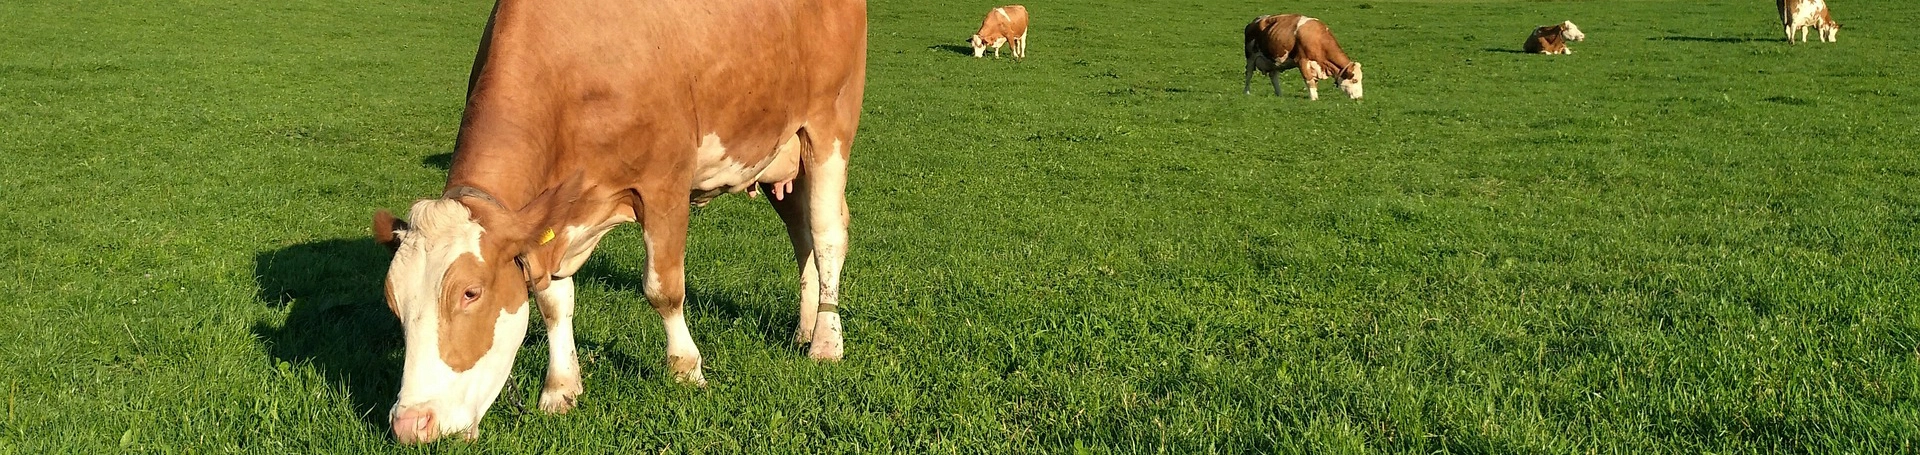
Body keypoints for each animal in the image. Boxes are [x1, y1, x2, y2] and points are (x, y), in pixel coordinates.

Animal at [364, 0, 871, 443]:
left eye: (470, 293)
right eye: (392, 302)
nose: (410, 424)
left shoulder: (665, 184)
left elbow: (663, 289)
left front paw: (686, 368)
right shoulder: (552, 222)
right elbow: (552, 302)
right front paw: (560, 388)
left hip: (830, 122)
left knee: (826, 233)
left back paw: (826, 343)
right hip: (778, 151)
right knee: (801, 235)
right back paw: (805, 326)